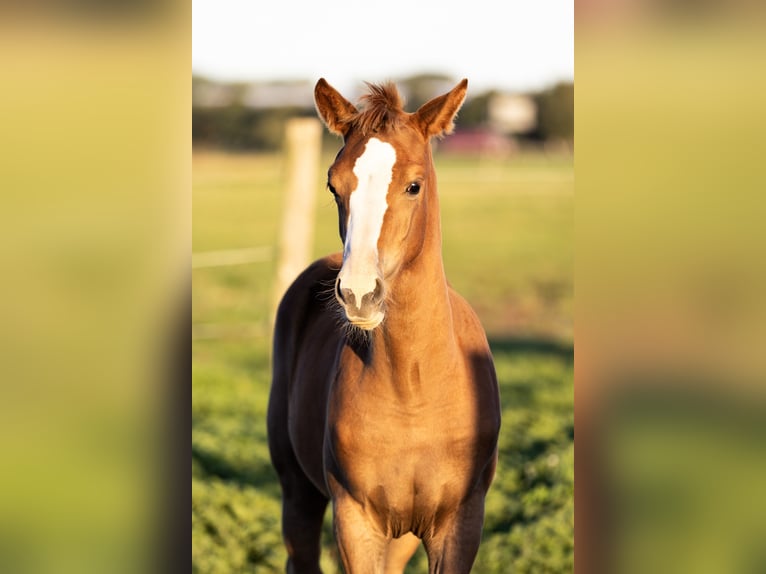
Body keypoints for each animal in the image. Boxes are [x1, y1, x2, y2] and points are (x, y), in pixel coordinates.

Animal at [267, 78, 501, 574]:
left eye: (414, 185)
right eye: (333, 185)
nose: (359, 293)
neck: (413, 387)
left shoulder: (459, 524)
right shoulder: (356, 521)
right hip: (298, 490)